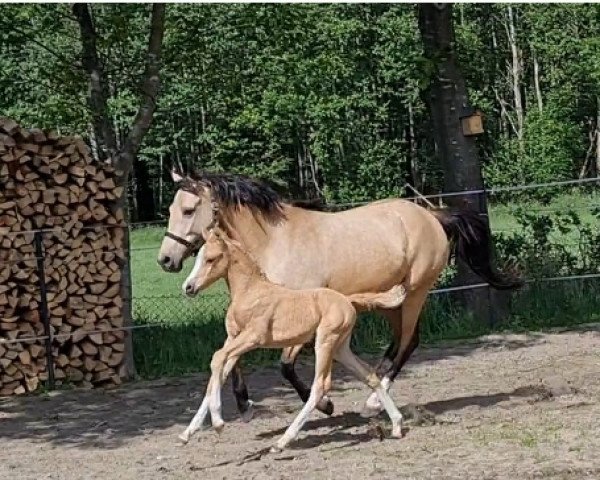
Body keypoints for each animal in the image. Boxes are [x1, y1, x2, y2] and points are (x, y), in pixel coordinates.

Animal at [180, 227, 406, 452]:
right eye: (198, 257)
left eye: (210, 259)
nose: (188, 287)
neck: (251, 293)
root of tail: (347, 300)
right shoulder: (233, 339)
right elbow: (217, 374)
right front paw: (187, 433)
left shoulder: (253, 337)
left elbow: (217, 358)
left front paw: (218, 423)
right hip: (340, 348)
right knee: (369, 375)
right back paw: (396, 425)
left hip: (325, 341)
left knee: (320, 386)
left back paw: (282, 441)